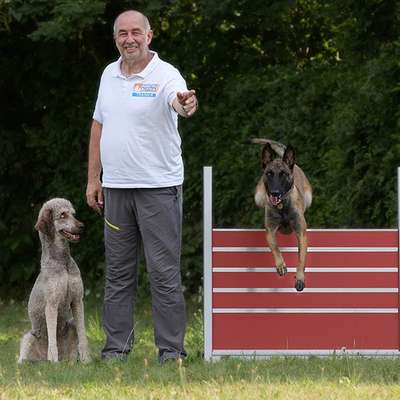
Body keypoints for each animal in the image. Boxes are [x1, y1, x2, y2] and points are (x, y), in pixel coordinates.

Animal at [253, 139, 312, 290]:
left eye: (283, 174)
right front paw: (280, 266)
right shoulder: (270, 231)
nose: (275, 192)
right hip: (258, 197)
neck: (282, 207)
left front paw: (300, 278)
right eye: (269, 173)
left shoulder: (301, 233)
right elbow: (275, 247)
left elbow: (301, 258)